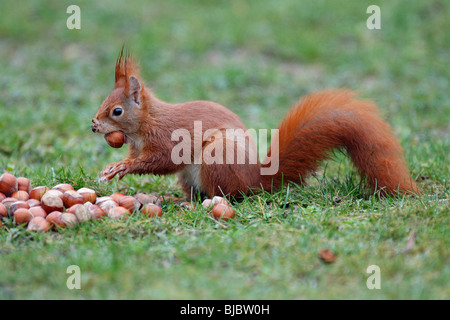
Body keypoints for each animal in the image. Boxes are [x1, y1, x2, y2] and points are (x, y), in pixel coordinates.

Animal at [90, 50, 418, 199]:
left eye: (117, 111)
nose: (93, 125)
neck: (145, 123)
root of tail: (255, 181)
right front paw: (114, 168)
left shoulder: (168, 137)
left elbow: (161, 160)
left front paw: (121, 168)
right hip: (191, 176)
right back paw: (184, 200)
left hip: (217, 157)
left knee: (225, 194)